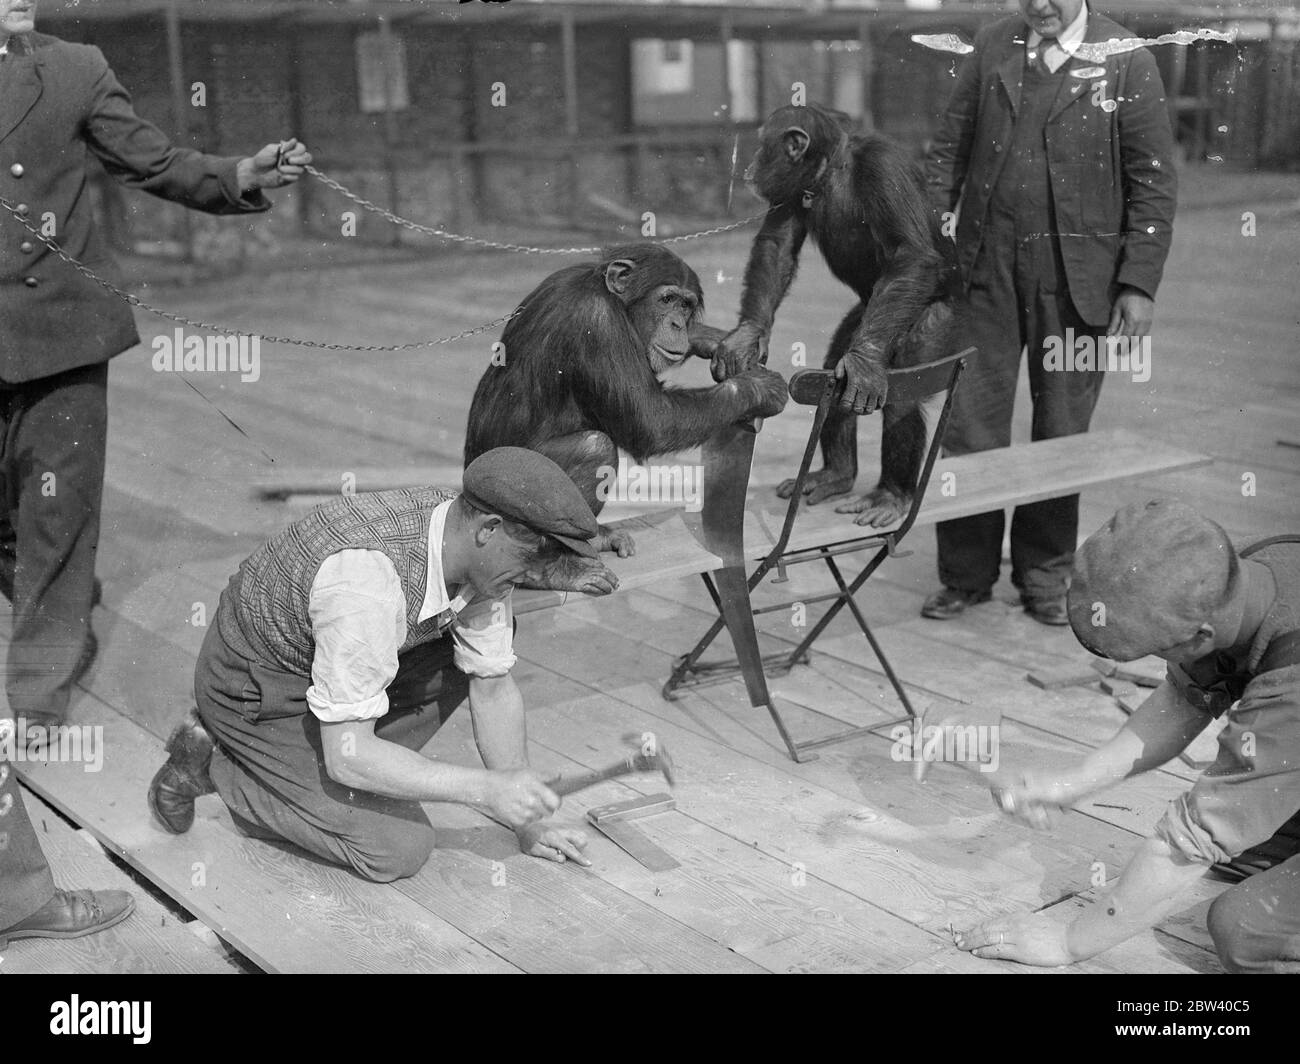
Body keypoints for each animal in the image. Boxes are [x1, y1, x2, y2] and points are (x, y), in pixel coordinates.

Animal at [467, 241, 790, 587]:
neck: (614, 299)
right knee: (594, 448)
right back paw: (552, 570)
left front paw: (721, 341)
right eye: (666, 300)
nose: (678, 324)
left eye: (686, 306)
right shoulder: (599, 322)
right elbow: (651, 420)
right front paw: (758, 388)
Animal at [712, 103, 967, 525]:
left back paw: (890, 495)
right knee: (835, 371)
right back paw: (836, 474)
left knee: (904, 395)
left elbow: (911, 253)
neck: (828, 171)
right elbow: (778, 243)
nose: (749, 163)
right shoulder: (790, 192)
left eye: (762, 144)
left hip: (933, 320)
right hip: (865, 316)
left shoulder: (884, 168)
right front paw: (748, 334)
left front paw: (863, 366)